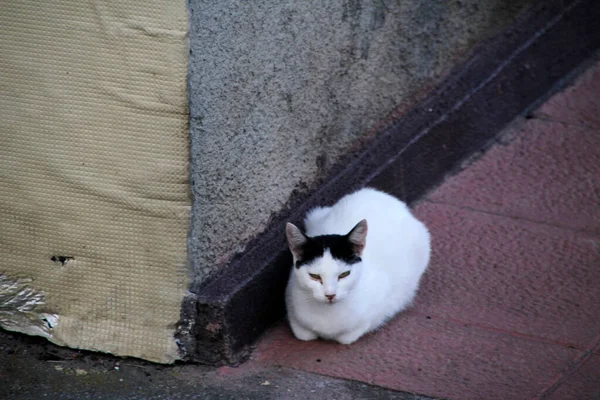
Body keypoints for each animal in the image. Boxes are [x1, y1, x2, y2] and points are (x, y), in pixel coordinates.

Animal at [284, 188, 428, 344]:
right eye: (314, 276)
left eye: (344, 274)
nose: (330, 295)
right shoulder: (290, 294)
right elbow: (303, 334)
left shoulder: (384, 304)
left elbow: (348, 335)